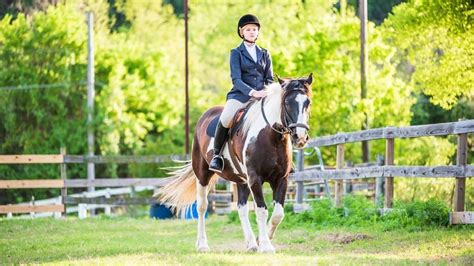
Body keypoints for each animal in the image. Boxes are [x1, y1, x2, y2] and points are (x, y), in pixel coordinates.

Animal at [156, 74, 314, 252]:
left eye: (308, 102)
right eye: (287, 103)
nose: (300, 138)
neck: (271, 137)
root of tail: (205, 115)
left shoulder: (281, 179)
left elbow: (278, 214)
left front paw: (262, 239)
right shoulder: (255, 178)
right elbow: (262, 211)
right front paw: (265, 246)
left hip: (241, 180)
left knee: (241, 208)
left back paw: (251, 243)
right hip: (202, 175)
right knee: (202, 206)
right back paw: (202, 244)